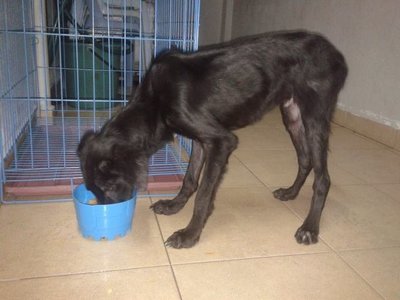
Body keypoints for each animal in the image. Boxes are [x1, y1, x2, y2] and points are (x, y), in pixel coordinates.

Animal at [77, 30, 346, 250]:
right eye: (94, 190)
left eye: (109, 187)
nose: (109, 214)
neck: (153, 104)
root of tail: (334, 53)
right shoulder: (200, 140)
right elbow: (189, 179)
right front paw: (173, 206)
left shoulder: (221, 141)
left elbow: (204, 194)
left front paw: (189, 235)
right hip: (292, 115)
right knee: (305, 160)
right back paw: (290, 193)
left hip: (314, 118)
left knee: (323, 178)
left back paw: (309, 228)